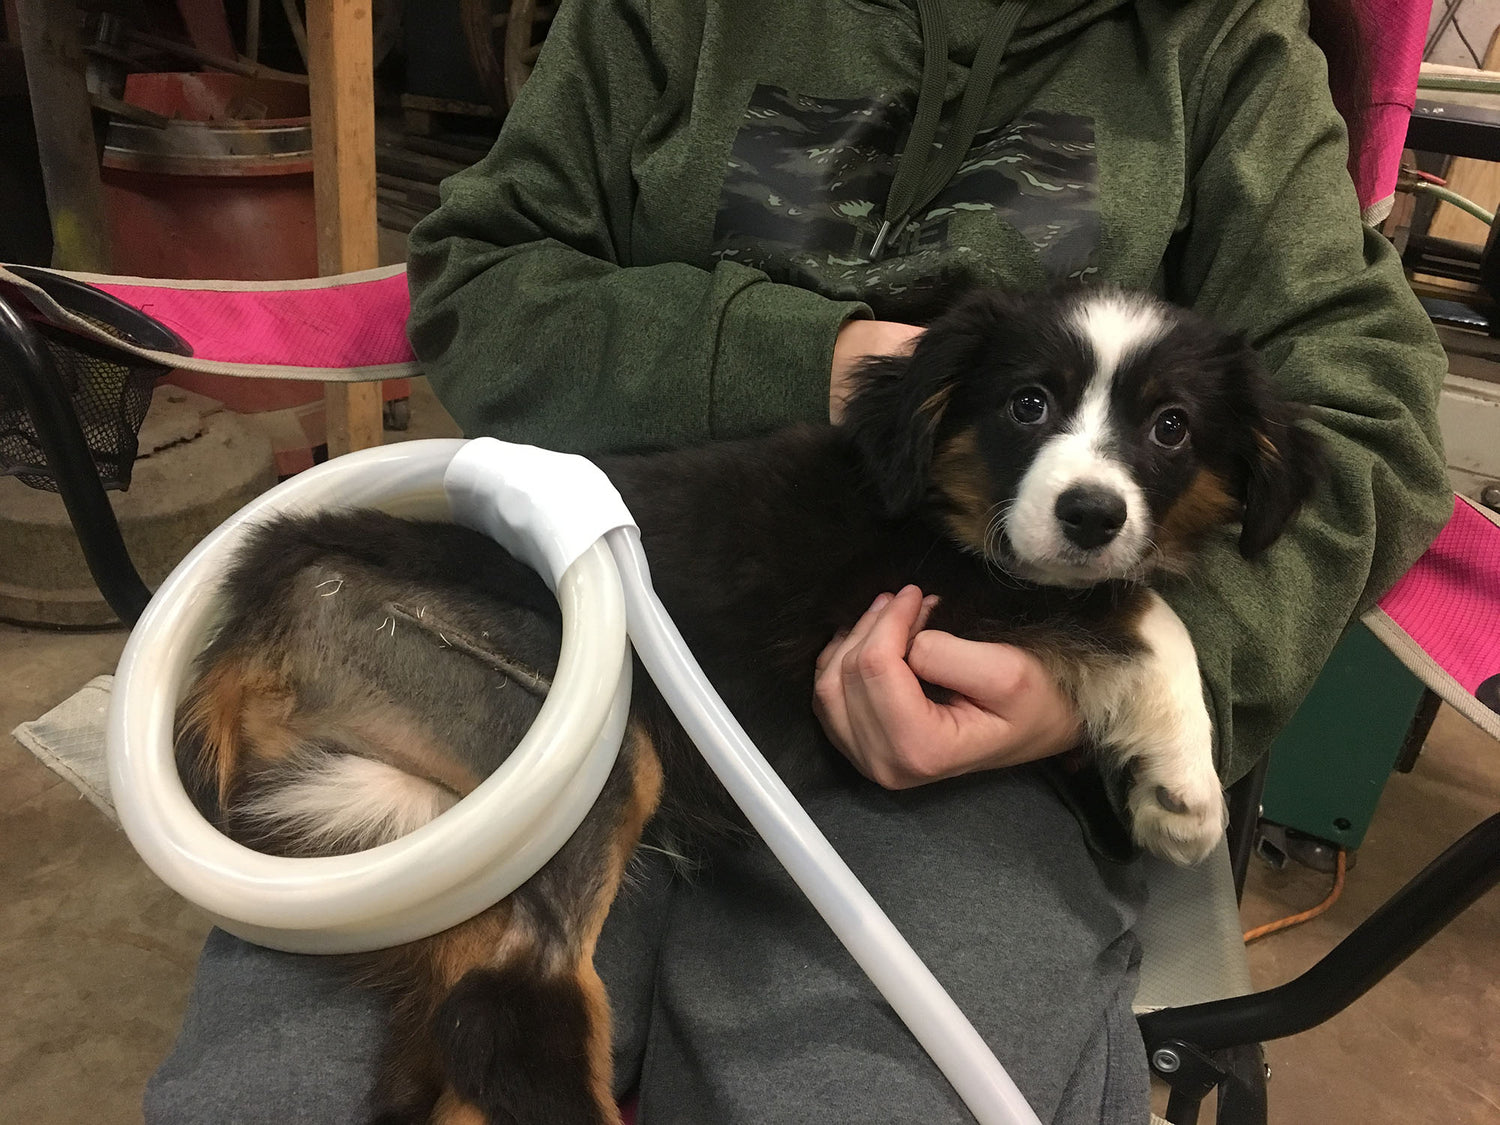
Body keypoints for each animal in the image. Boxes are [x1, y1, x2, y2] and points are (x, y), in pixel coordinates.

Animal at [178, 286, 1326, 1122]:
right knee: (503, 1014)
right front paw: (1183, 789)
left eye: (1172, 427)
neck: (936, 494)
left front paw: (1132, 793)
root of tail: (259, 605)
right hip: (569, 721)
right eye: (1028, 404)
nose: (1091, 513)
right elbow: (1143, 611)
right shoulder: (958, 590)